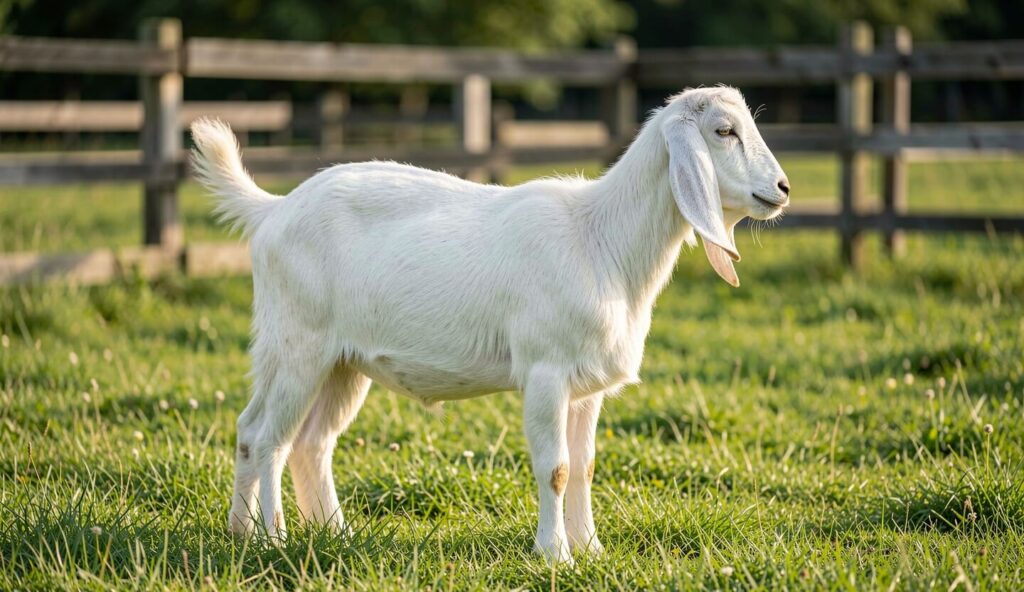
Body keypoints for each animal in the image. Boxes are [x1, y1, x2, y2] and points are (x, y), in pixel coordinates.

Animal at [191, 86, 790, 564]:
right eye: (724, 131)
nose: (782, 189)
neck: (601, 240)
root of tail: (273, 210)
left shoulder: (587, 386)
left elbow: (586, 465)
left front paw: (591, 549)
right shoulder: (546, 370)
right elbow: (556, 467)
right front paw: (555, 555)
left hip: (340, 359)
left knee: (293, 438)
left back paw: (290, 533)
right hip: (300, 342)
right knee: (272, 438)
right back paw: (272, 539)